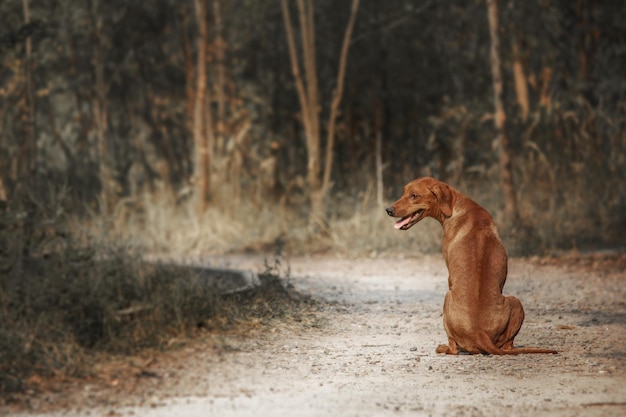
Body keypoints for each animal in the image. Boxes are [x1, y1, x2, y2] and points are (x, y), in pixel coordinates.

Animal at [386, 176, 556, 354]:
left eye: (414, 195)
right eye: (404, 192)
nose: (388, 210)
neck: (456, 206)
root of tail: (479, 333)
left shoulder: (449, 277)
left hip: (449, 297)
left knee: (453, 349)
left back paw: (443, 347)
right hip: (516, 303)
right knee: (508, 345)